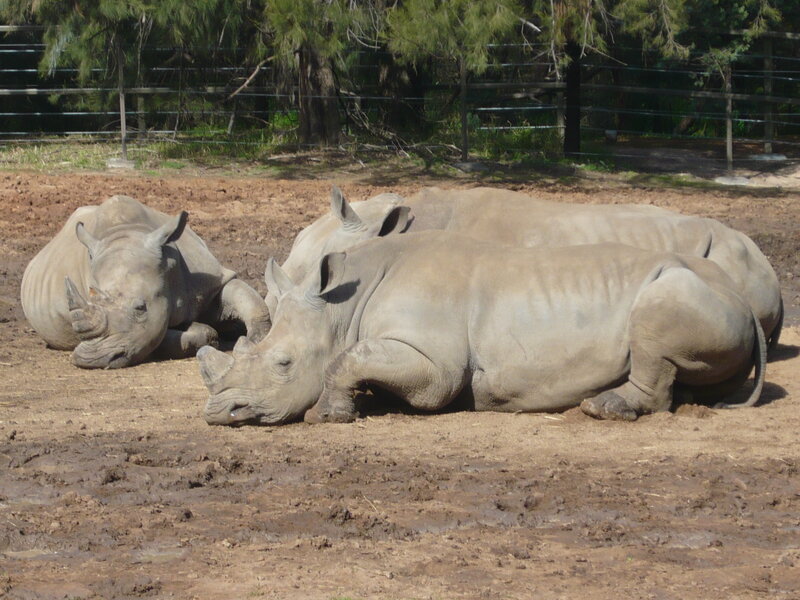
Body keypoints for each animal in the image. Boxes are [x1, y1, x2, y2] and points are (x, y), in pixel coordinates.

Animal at [21, 195, 270, 369]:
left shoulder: (211, 280)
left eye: (141, 308)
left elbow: (247, 299)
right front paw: (205, 332)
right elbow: (162, 337)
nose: (93, 360)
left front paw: (257, 339)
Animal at [199, 232, 765, 426]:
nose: (219, 413)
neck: (343, 307)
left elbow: (349, 358)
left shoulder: (436, 368)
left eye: (284, 364)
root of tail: (744, 296)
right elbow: (356, 359)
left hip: (696, 294)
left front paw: (327, 416)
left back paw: (603, 409)